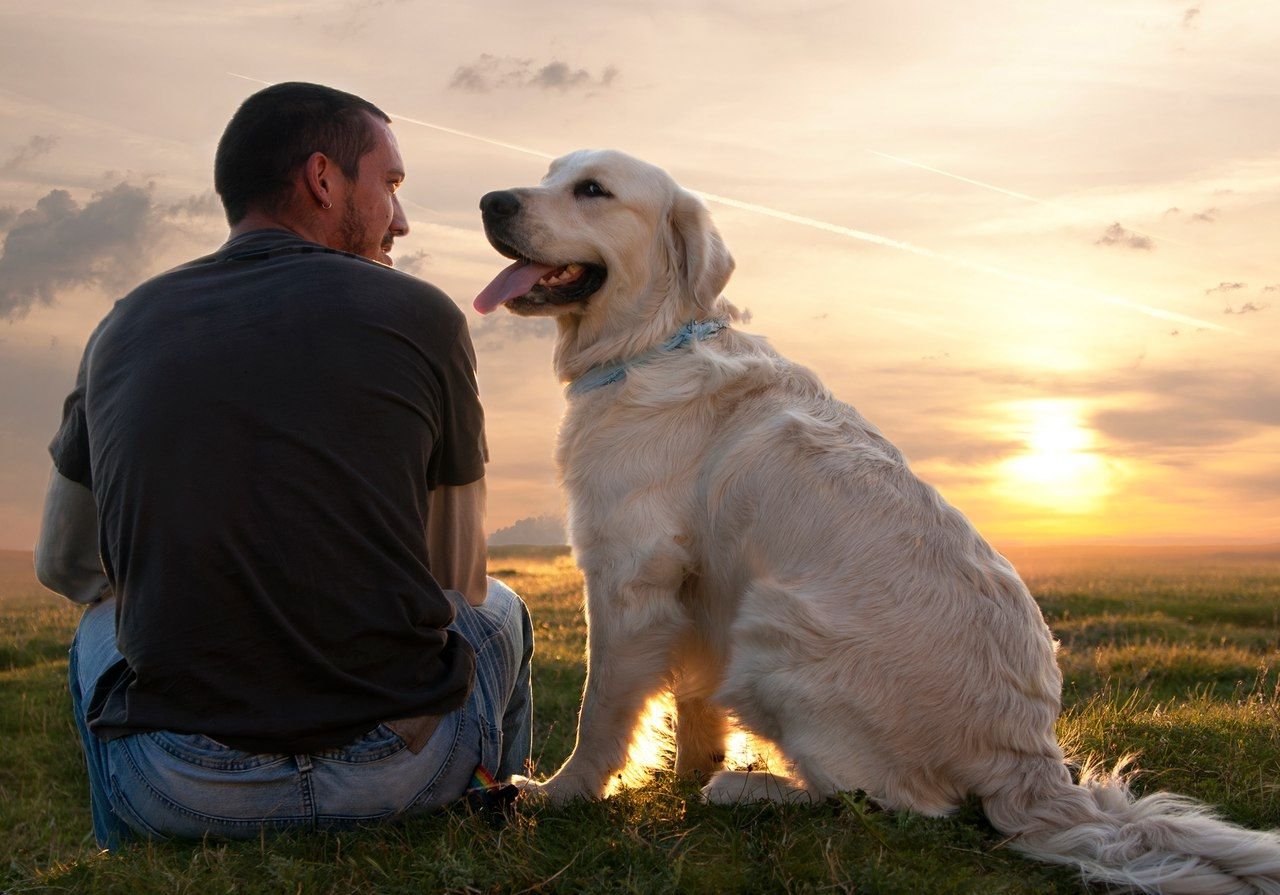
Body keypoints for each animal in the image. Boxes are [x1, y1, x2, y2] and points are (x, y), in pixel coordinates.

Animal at [476, 150, 1280, 891]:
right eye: (549, 175)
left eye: (592, 190)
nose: (490, 200)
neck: (650, 344)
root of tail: (1029, 761)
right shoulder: (696, 588)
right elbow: (693, 701)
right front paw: (683, 770)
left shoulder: (627, 574)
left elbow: (603, 707)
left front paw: (562, 792)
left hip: (773, 623)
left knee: (893, 801)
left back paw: (749, 788)